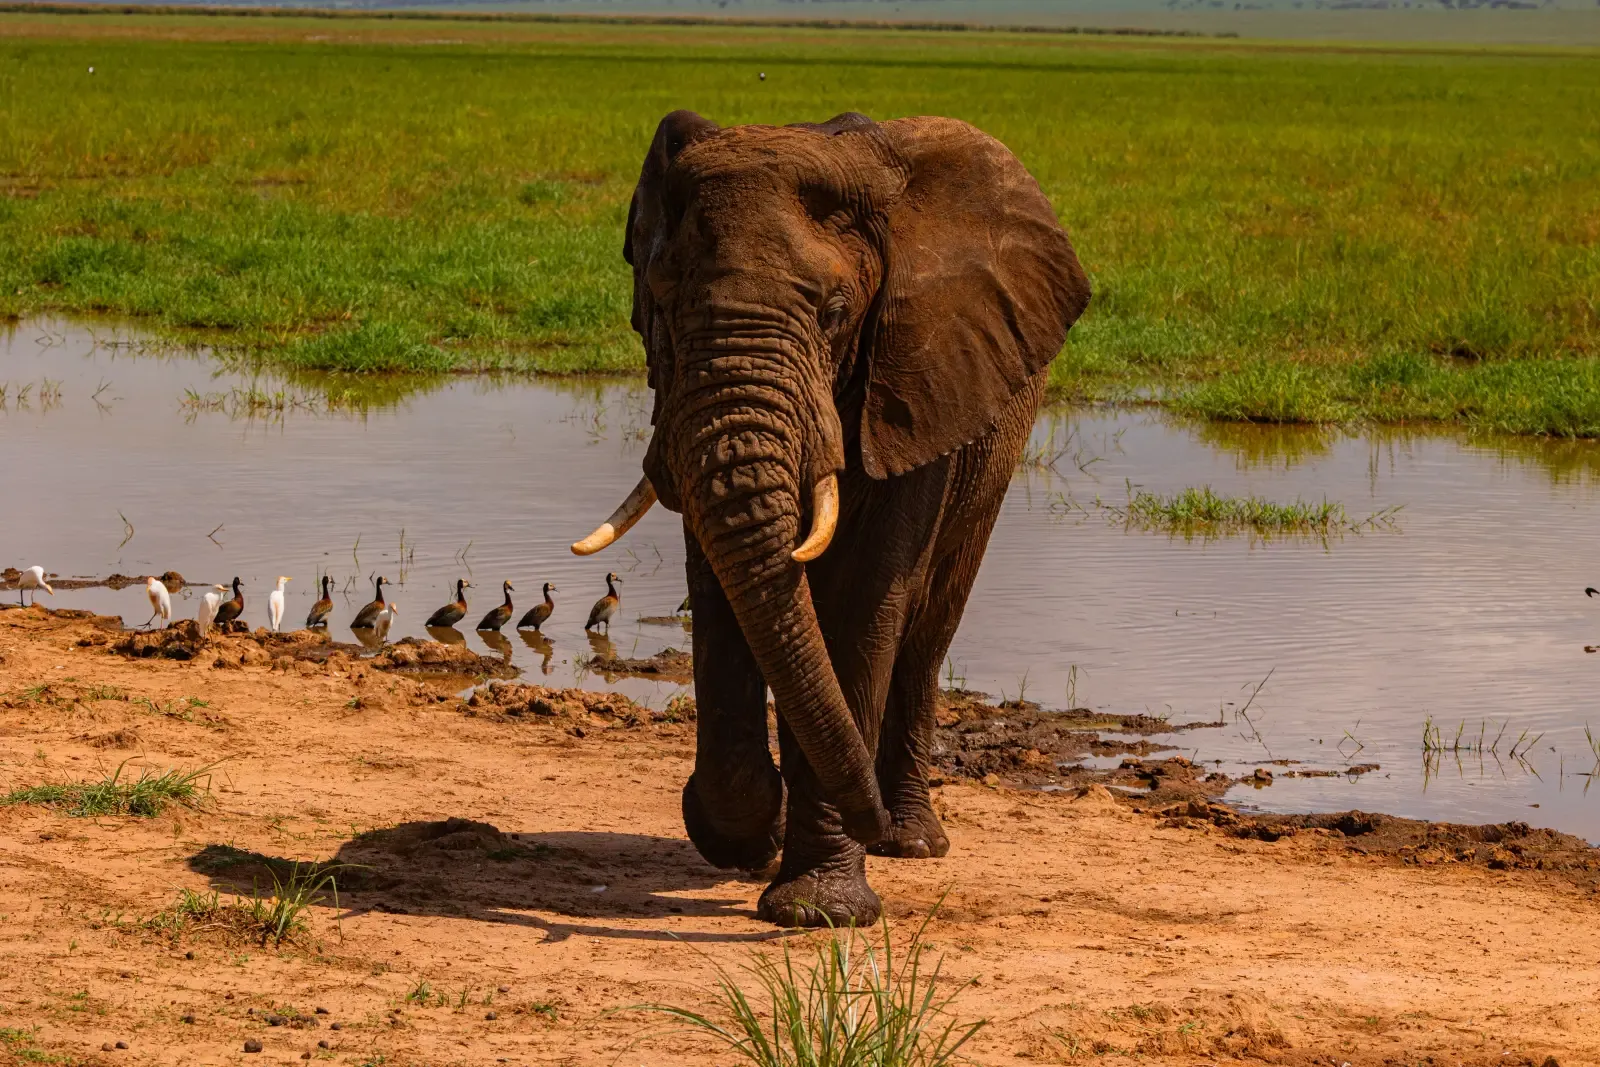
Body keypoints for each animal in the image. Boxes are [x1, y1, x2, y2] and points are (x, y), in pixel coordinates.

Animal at [572, 110, 1091, 927]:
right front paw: (748, 839)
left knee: (927, 632)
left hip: (994, 446)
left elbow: (860, 605)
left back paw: (910, 841)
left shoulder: (917, 380)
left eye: (836, 313)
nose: (866, 817)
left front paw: (820, 909)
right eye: (664, 307)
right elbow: (723, 593)